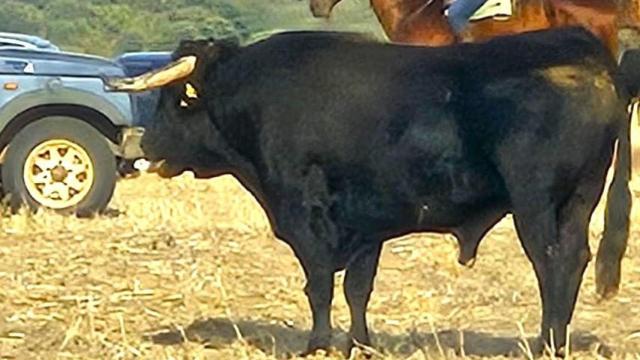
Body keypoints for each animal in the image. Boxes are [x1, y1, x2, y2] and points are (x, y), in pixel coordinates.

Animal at [105, 27, 632, 354]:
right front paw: (359, 342)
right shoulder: (367, 220)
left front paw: (317, 343)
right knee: (575, 258)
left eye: (178, 100)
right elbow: (358, 287)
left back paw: (546, 343)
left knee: (551, 263)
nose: (143, 143)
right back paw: (555, 340)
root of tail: (586, 51)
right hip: (579, 200)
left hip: (535, 202)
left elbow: (318, 282)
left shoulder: (305, 213)